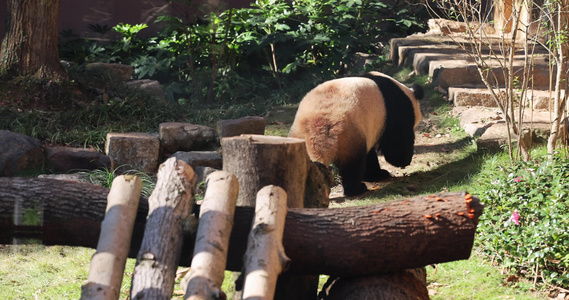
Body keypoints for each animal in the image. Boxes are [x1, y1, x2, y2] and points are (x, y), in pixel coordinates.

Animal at [288, 71, 422, 196]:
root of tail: (316, 127)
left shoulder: (370, 126)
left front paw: (376, 175)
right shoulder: (395, 109)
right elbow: (396, 146)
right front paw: (404, 161)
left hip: (298, 133)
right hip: (348, 133)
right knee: (353, 165)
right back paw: (356, 189)